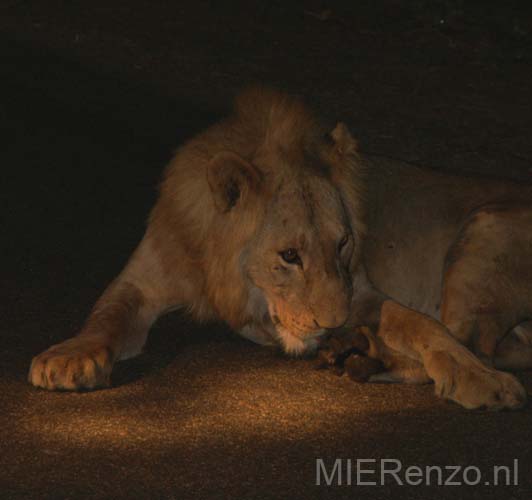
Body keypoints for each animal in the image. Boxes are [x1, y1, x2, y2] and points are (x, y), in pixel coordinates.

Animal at [29, 88, 532, 408]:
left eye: (343, 243)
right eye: (289, 256)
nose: (334, 324)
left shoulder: (360, 292)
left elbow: (422, 326)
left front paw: (477, 378)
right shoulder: (144, 277)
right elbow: (105, 314)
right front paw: (69, 358)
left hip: (481, 234)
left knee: (476, 341)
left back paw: (361, 355)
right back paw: (354, 353)